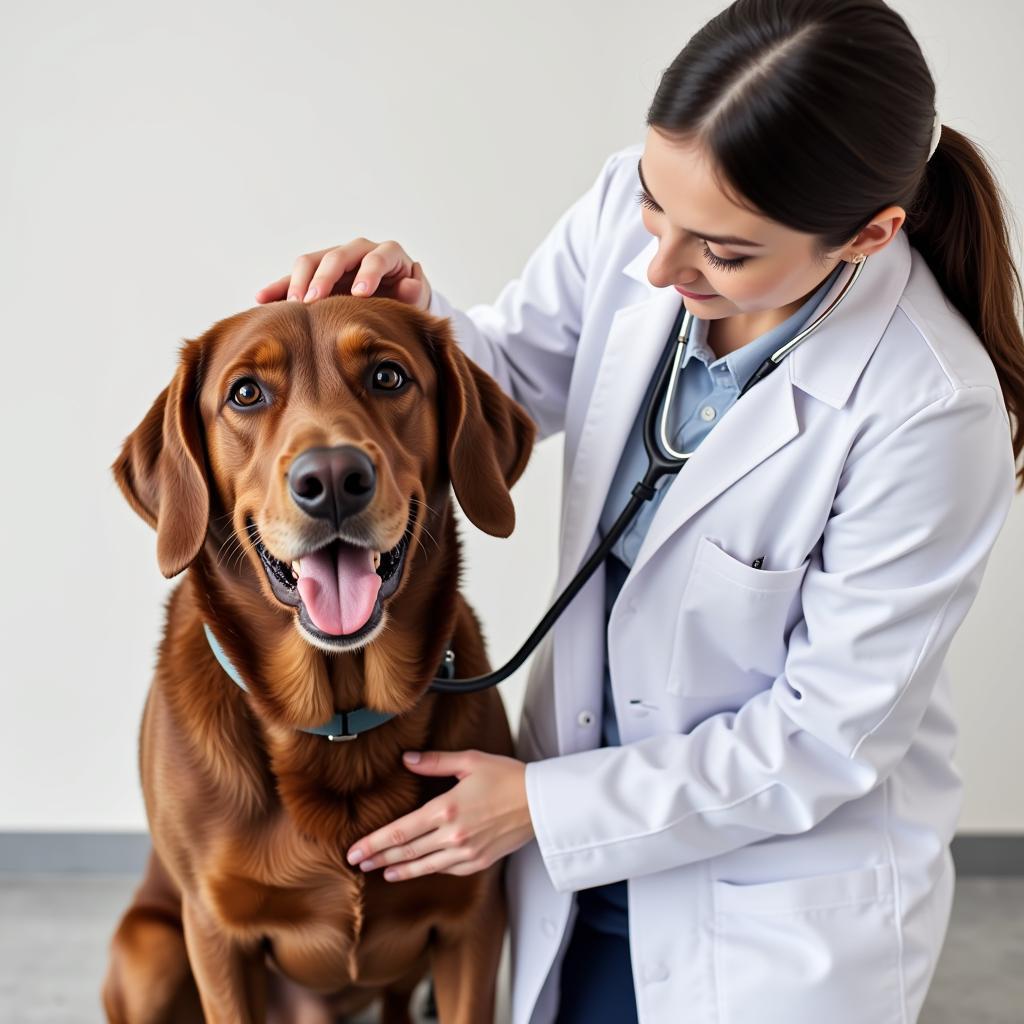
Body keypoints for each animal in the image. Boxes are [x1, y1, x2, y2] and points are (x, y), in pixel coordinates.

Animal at [100, 292, 540, 1019]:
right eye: (246, 393)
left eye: (388, 376)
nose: (333, 478)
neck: (339, 719)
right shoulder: (215, 935)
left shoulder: (472, 923)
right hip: (149, 954)